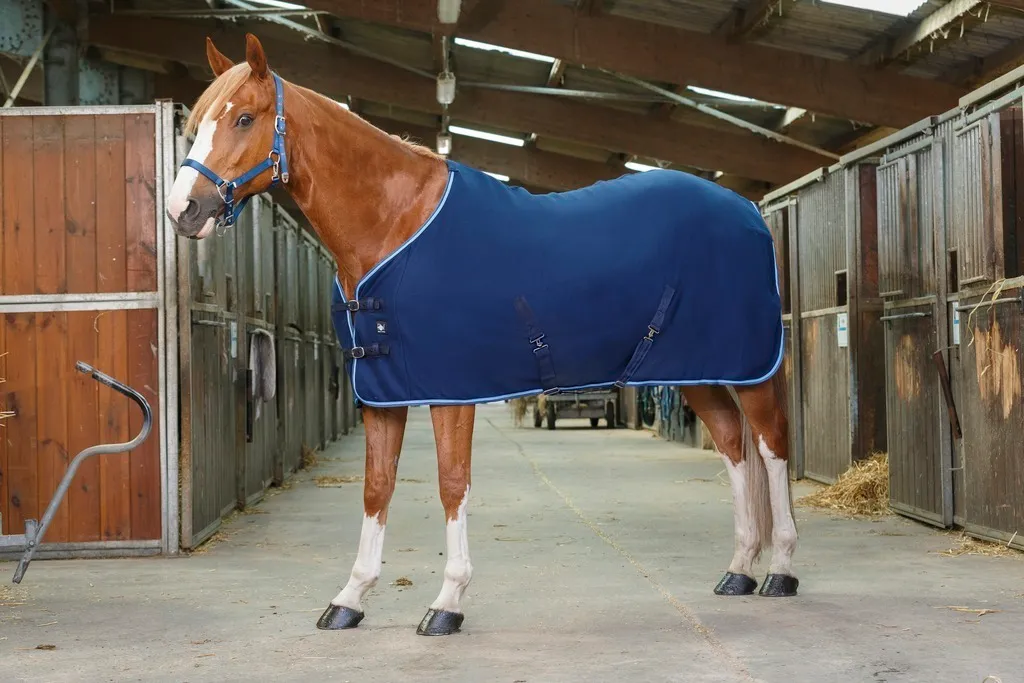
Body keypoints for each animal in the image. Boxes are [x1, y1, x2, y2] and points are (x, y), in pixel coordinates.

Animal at [165, 33, 800, 637]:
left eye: (245, 118)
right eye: (198, 125)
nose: (182, 210)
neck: (396, 222)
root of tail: (748, 208)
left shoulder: (450, 391)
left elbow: (452, 484)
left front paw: (446, 604)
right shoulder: (383, 393)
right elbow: (376, 487)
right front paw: (349, 599)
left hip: (748, 365)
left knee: (770, 446)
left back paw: (781, 571)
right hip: (698, 370)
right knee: (732, 445)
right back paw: (739, 570)